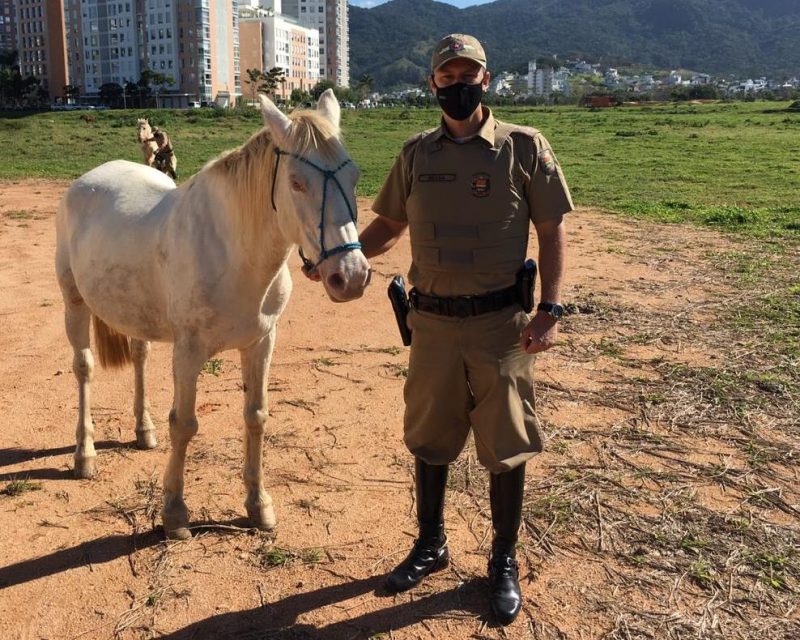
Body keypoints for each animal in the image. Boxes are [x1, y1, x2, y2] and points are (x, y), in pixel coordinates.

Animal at [57, 91, 372, 540]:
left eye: (355, 178)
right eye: (297, 182)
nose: (351, 276)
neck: (234, 253)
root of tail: (88, 180)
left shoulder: (261, 343)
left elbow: (256, 416)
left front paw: (259, 507)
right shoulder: (189, 353)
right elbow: (184, 424)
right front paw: (175, 514)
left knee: (139, 356)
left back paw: (143, 431)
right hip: (74, 303)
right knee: (83, 368)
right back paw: (84, 455)